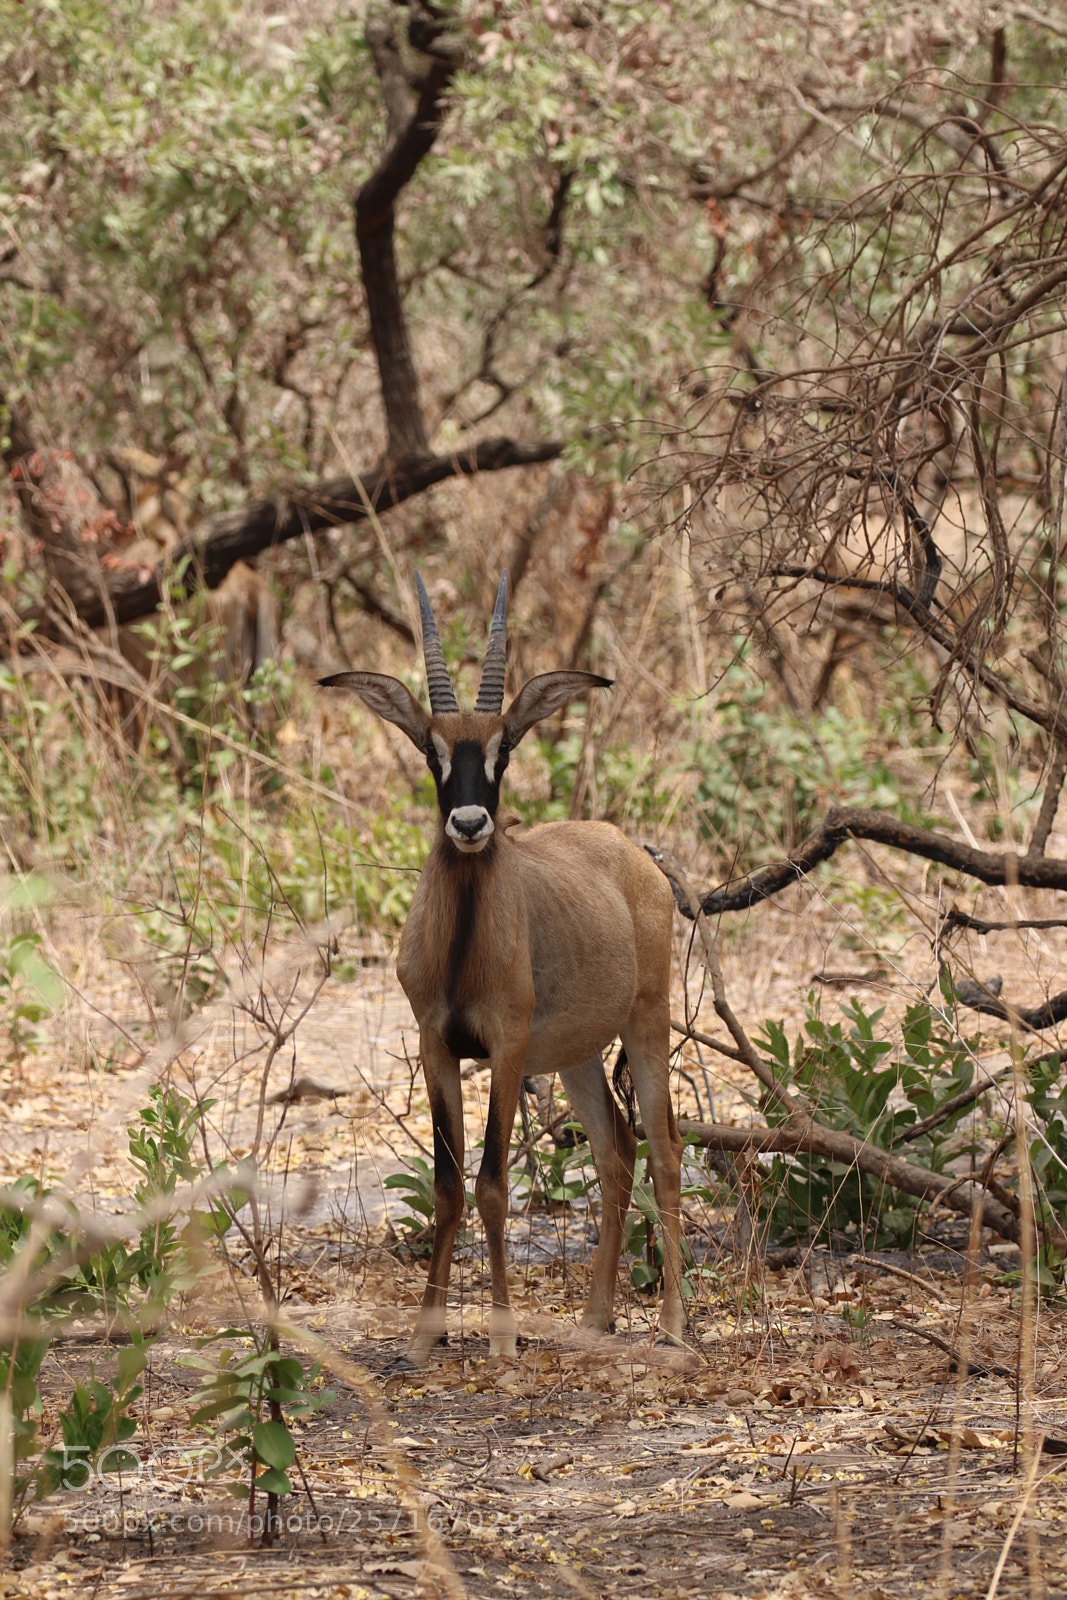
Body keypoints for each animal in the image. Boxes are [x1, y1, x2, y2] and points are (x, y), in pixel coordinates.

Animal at [321, 574, 684, 1367]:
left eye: (503, 749)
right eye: (430, 748)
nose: (468, 825)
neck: (462, 949)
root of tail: (633, 853)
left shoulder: (507, 1048)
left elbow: (491, 1182)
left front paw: (502, 1334)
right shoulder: (437, 1047)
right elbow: (447, 1184)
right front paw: (424, 1336)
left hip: (646, 1025)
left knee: (665, 1149)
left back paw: (673, 1327)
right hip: (576, 1056)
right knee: (616, 1149)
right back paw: (595, 1318)